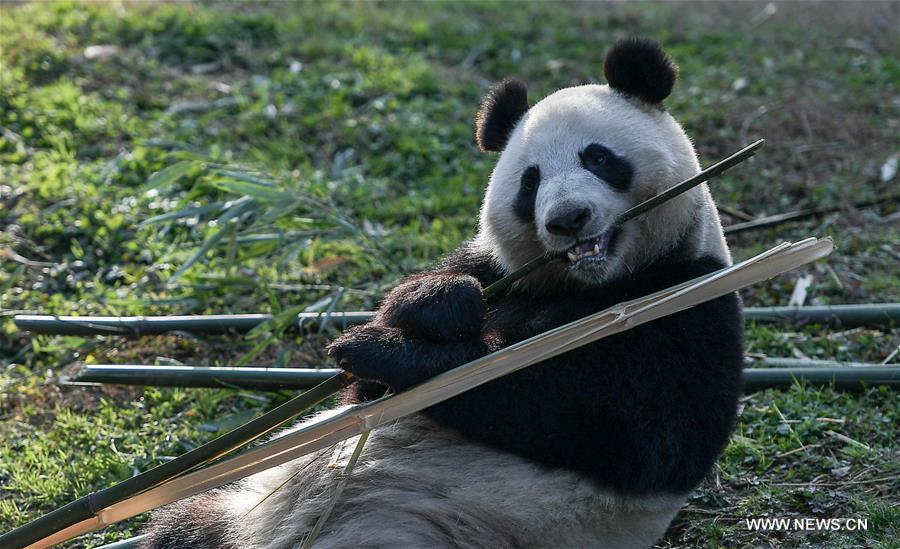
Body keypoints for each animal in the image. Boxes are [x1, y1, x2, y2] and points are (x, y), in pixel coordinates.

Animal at [141, 38, 744, 549]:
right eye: (529, 182)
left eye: (598, 158)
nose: (567, 219)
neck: (594, 284)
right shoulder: (496, 267)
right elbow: (368, 389)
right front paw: (432, 304)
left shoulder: (688, 300)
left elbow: (612, 423)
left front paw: (394, 351)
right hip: (240, 512)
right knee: (180, 529)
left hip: (426, 530)